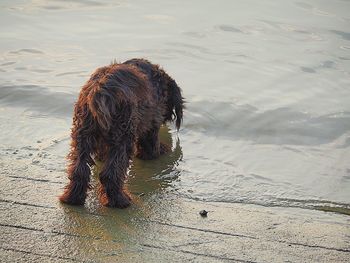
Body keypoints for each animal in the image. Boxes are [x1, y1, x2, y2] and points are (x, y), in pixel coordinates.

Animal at [58, 58, 185, 209]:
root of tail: (100, 92)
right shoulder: (152, 121)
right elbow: (151, 146)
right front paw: (161, 150)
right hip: (123, 136)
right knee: (110, 174)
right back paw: (120, 201)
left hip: (82, 134)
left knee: (79, 169)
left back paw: (72, 198)